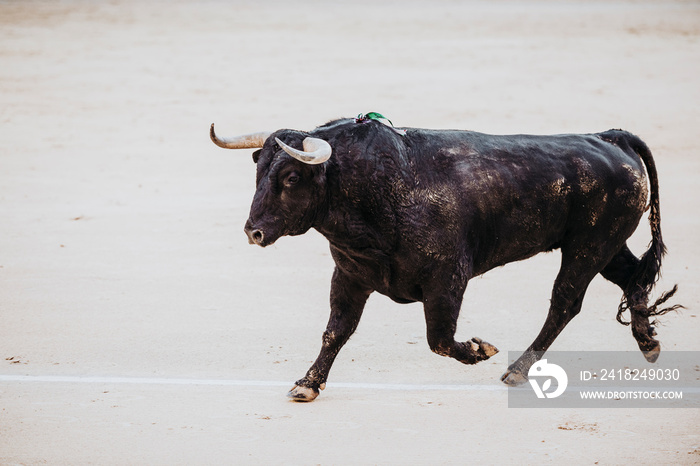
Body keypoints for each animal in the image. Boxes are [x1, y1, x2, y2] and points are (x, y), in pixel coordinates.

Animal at [209, 115, 680, 400]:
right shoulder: (349, 276)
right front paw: (307, 384)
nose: (253, 231)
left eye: (291, 177)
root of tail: (609, 137)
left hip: (587, 247)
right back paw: (648, 342)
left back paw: (517, 369)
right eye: (258, 172)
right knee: (634, 276)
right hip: (605, 245)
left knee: (565, 302)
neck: (379, 188)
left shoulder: (448, 280)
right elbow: (335, 331)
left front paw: (480, 349)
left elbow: (439, 338)